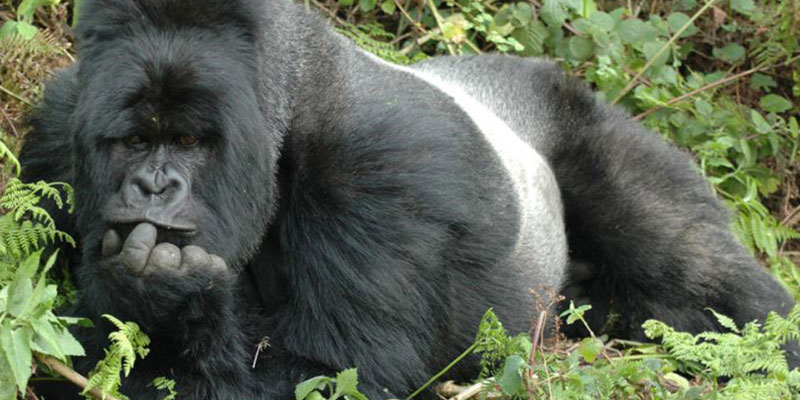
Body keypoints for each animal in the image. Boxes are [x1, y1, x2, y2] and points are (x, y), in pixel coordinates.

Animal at [18, 0, 800, 398]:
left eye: (186, 140)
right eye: (134, 141)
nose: (152, 186)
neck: (289, 100)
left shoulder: (384, 165)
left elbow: (343, 374)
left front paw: (172, 304)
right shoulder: (58, 128)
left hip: (585, 120)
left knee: (693, 273)